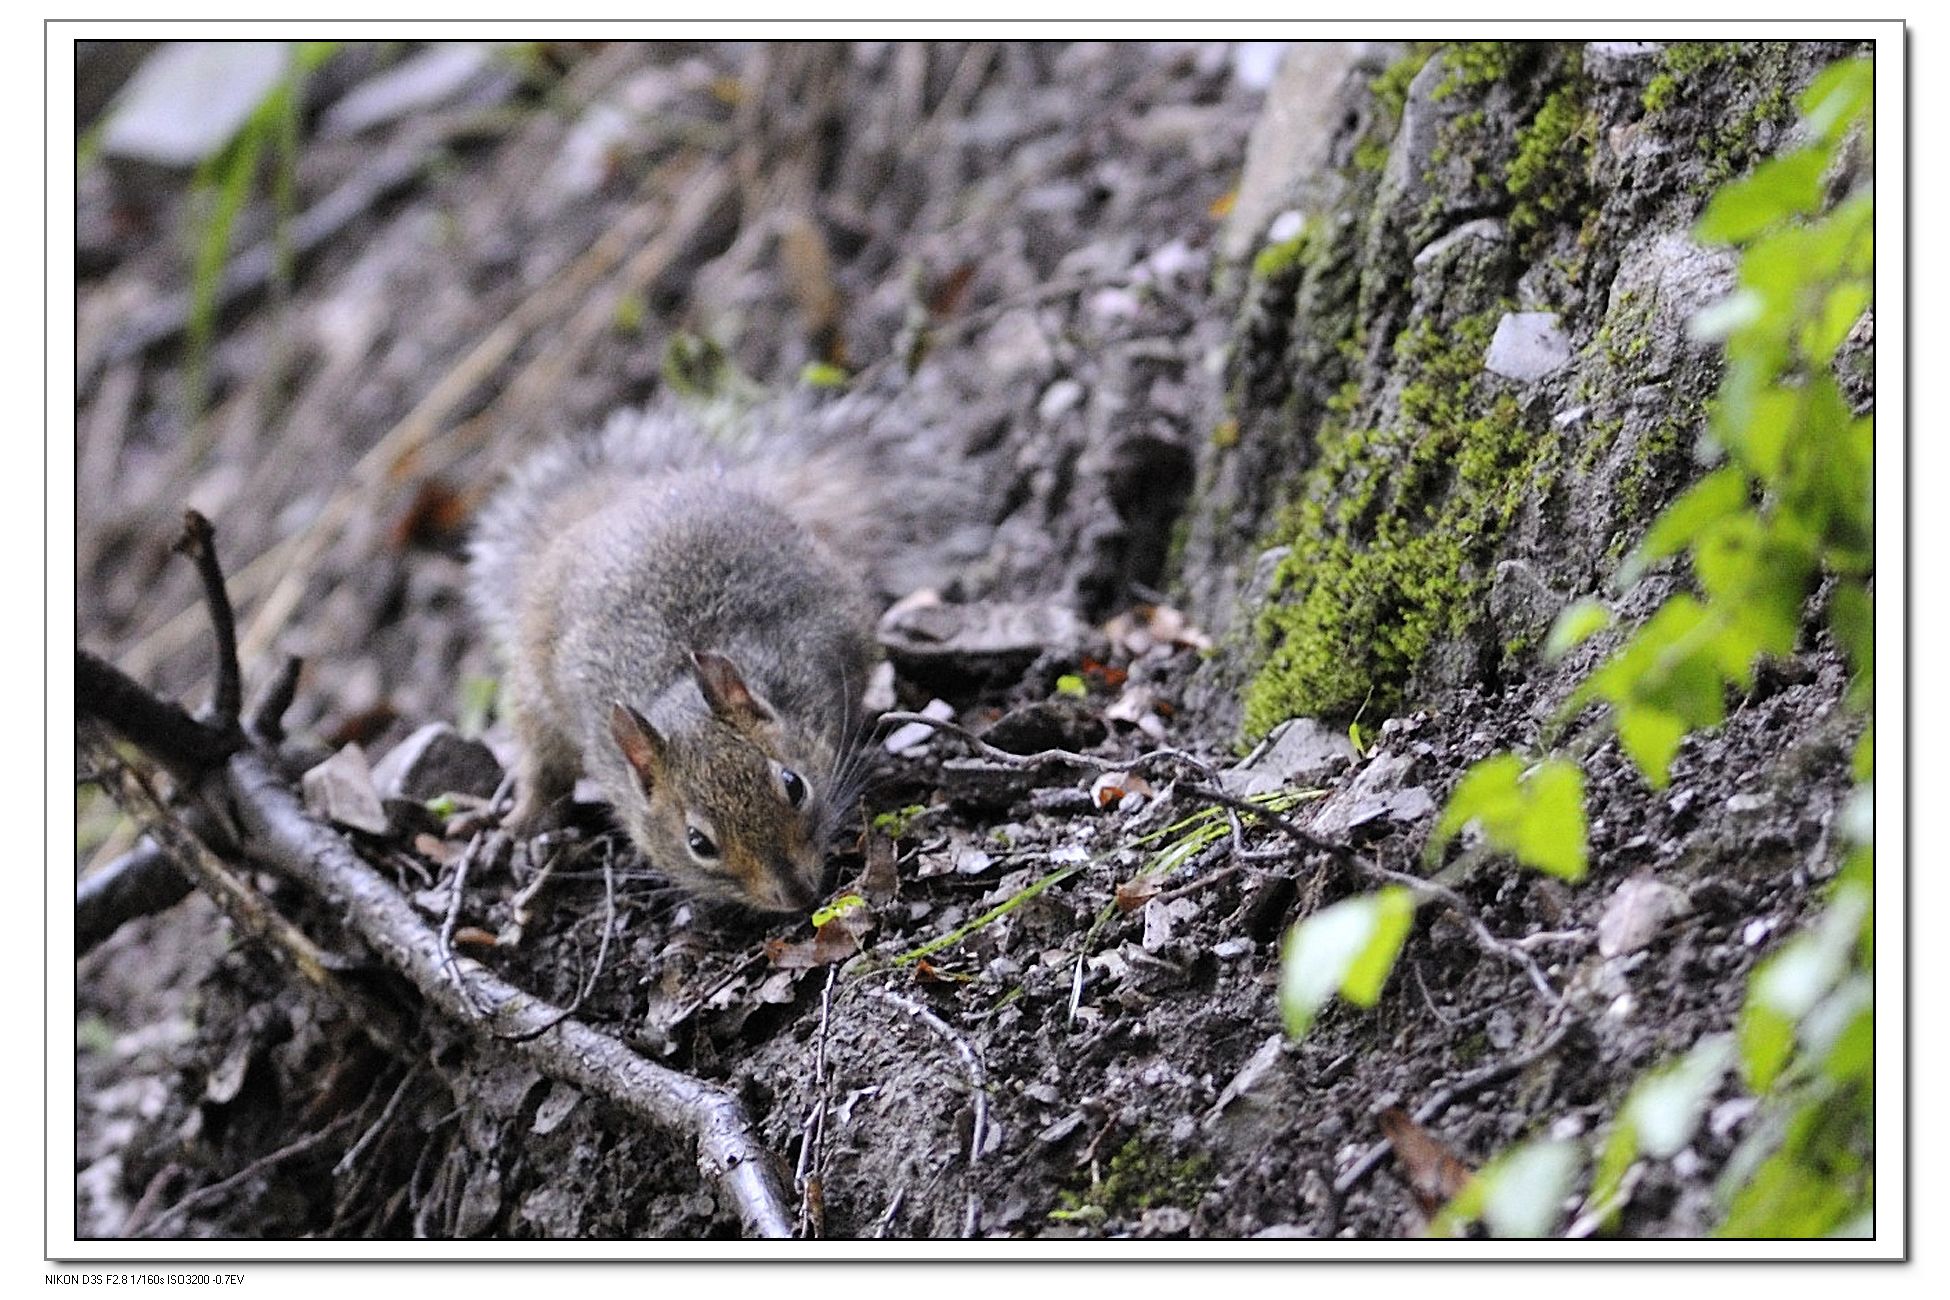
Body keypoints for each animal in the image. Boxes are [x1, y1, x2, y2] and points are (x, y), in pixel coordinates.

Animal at [464, 409, 877, 916]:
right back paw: (518, 828)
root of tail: (611, 503)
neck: (675, 686)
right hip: (535, 704)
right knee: (541, 773)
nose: (798, 894)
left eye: (793, 784)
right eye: (698, 843)